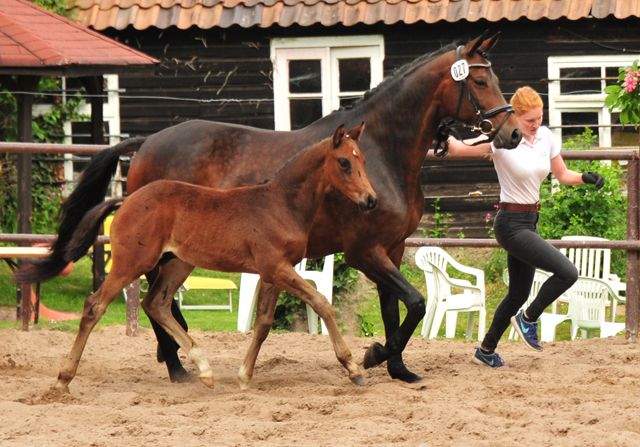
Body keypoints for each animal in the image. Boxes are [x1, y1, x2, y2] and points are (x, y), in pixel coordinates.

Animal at [52, 123, 378, 392]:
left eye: (362, 159)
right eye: (344, 162)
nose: (371, 199)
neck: (280, 204)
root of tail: (125, 200)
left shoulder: (272, 272)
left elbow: (263, 323)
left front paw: (244, 377)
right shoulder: (277, 268)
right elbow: (322, 303)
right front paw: (353, 368)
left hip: (178, 263)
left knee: (155, 303)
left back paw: (205, 369)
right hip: (132, 262)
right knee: (95, 306)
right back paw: (63, 379)